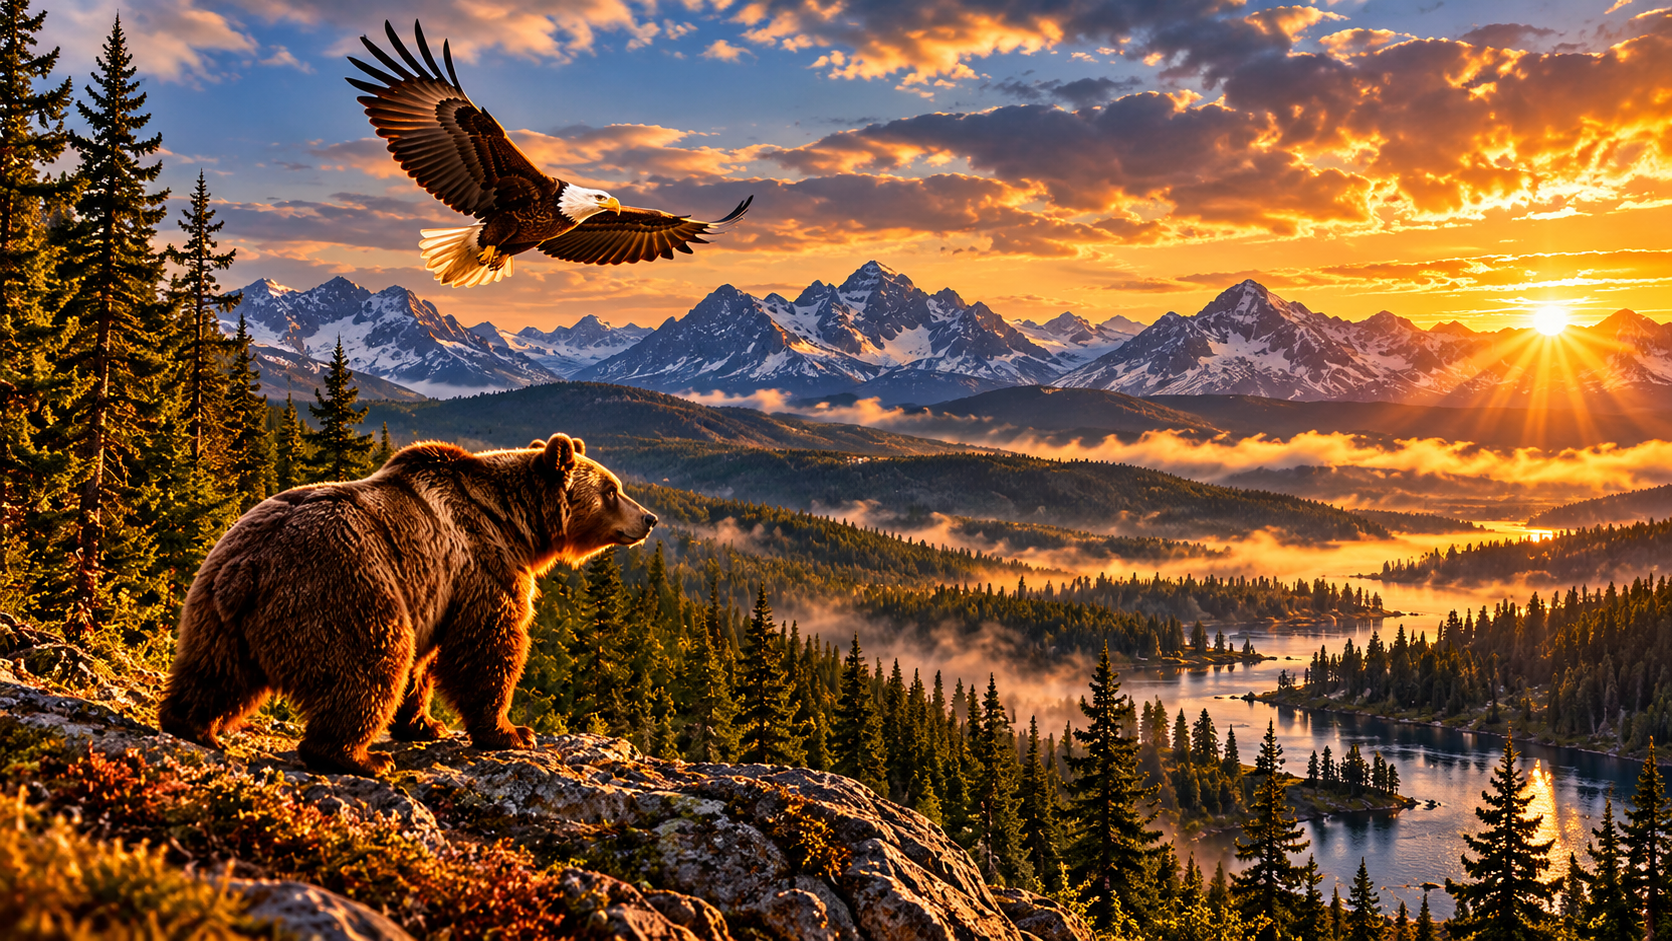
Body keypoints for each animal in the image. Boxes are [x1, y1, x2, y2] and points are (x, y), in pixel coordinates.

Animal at [157, 433, 656, 776]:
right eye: (612, 490)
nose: (649, 518)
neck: (516, 521)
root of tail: (251, 564)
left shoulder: (435, 590)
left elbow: (426, 662)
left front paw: (424, 724)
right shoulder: (482, 564)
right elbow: (488, 646)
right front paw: (512, 733)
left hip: (213, 608)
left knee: (213, 671)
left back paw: (191, 725)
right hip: (343, 588)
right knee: (371, 663)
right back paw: (358, 757)